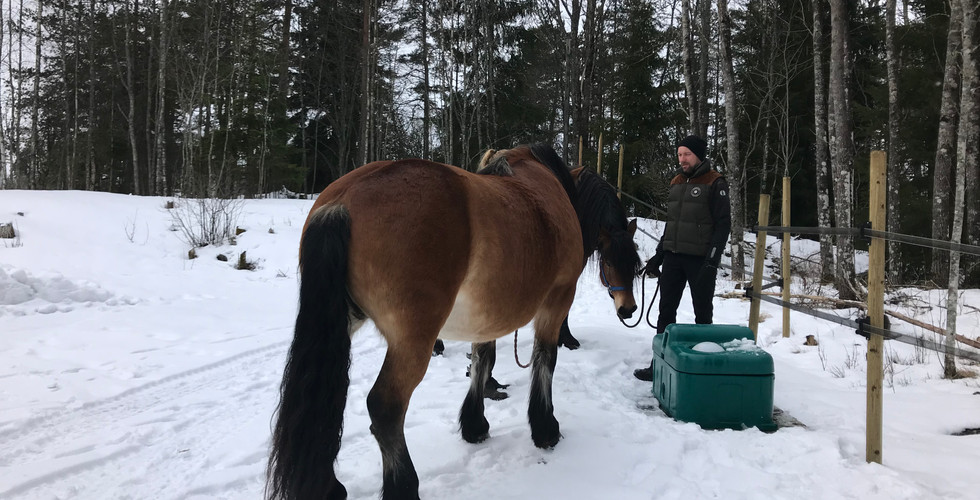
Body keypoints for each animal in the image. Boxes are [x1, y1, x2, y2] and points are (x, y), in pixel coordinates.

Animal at [267, 144, 641, 500]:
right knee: (385, 407)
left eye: (635, 263)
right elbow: (544, 360)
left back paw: (330, 487)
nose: (628, 310)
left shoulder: (488, 314)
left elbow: (482, 361)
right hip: (412, 340)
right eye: (611, 260)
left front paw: (475, 425)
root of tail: (341, 204)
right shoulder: (557, 299)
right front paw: (545, 427)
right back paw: (404, 487)